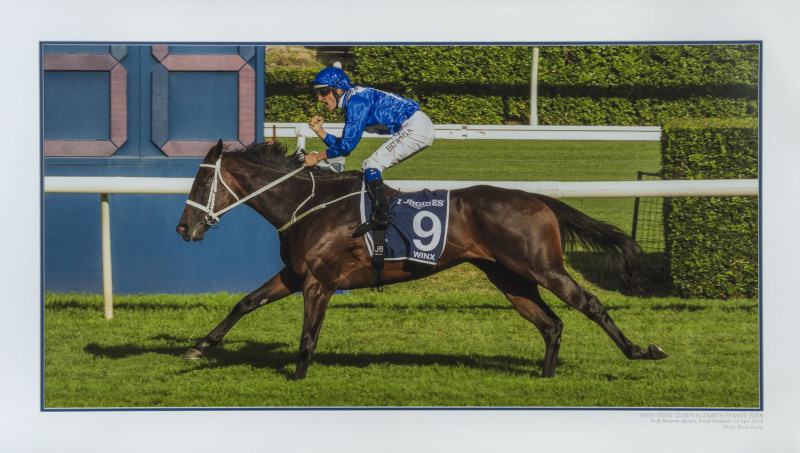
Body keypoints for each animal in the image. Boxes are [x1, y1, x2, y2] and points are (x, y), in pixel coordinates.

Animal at [177, 139, 668, 380]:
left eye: (201, 184)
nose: (183, 228)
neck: (308, 205)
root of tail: (539, 199)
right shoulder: (296, 274)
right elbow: (244, 302)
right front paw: (198, 346)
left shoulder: (320, 280)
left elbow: (307, 336)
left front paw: (297, 379)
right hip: (509, 276)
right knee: (551, 324)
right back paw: (546, 380)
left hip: (542, 268)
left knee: (590, 305)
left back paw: (642, 350)